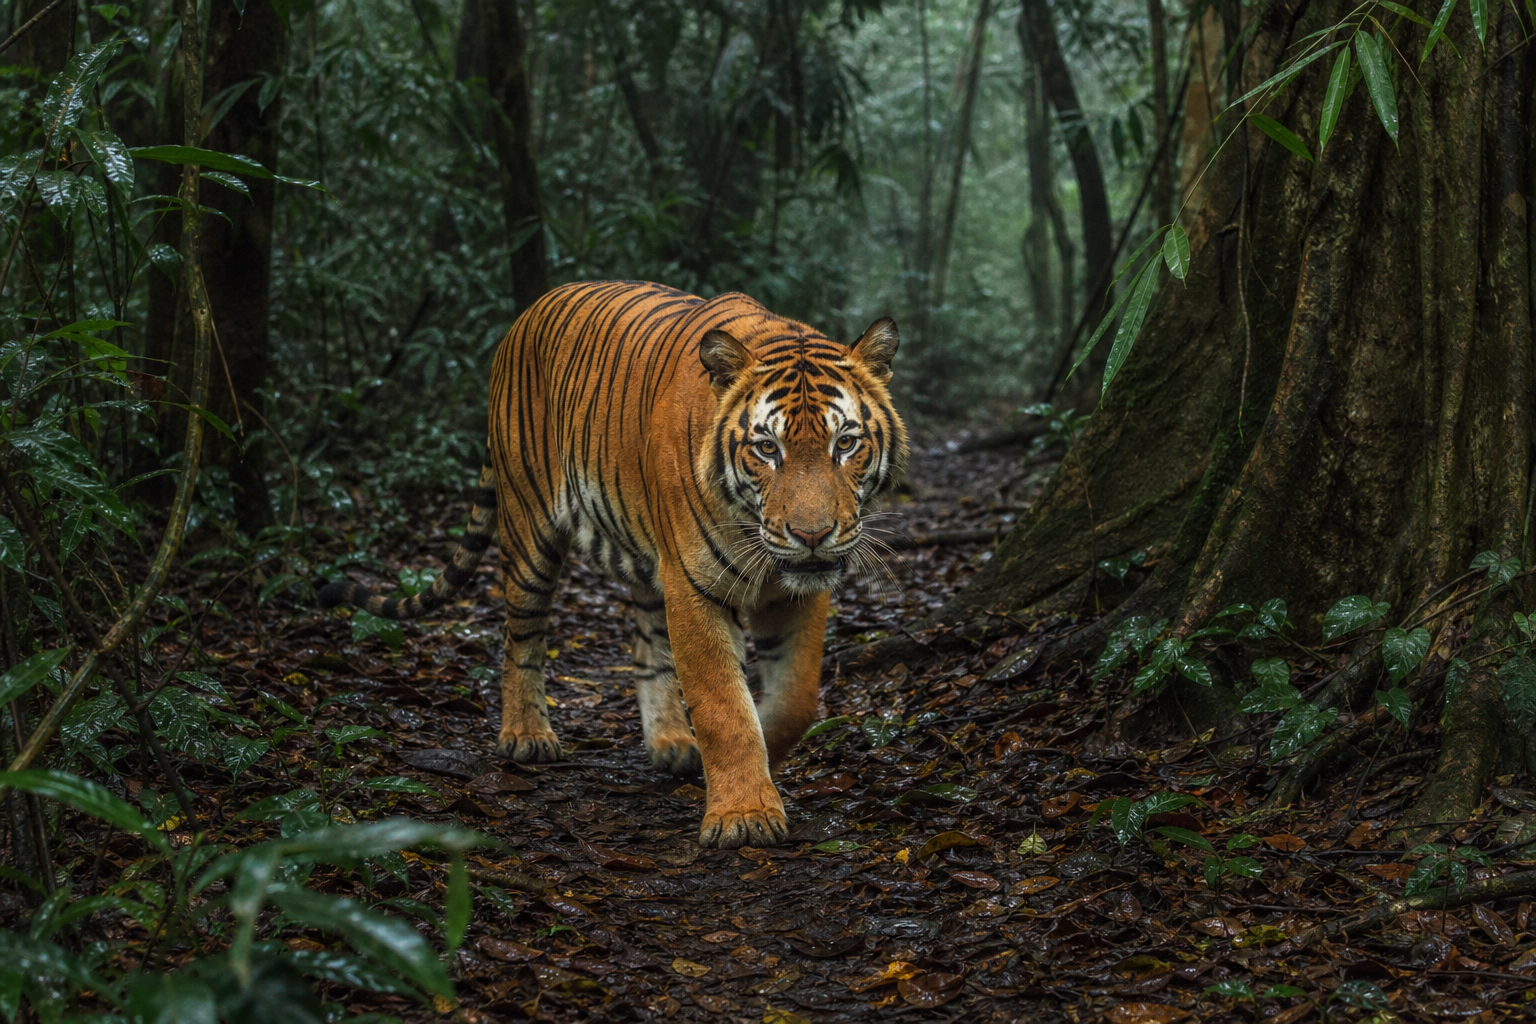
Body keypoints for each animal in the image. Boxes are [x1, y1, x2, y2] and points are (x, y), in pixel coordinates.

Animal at [319, 280, 906, 848]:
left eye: (845, 443)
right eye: (767, 449)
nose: (812, 536)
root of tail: (523, 317)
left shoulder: (793, 593)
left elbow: (795, 702)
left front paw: (750, 764)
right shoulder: (693, 585)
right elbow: (722, 706)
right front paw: (744, 816)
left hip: (648, 558)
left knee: (647, 646)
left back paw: (671, 741)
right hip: (530, 532)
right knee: (520, 636)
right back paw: (527, 736)